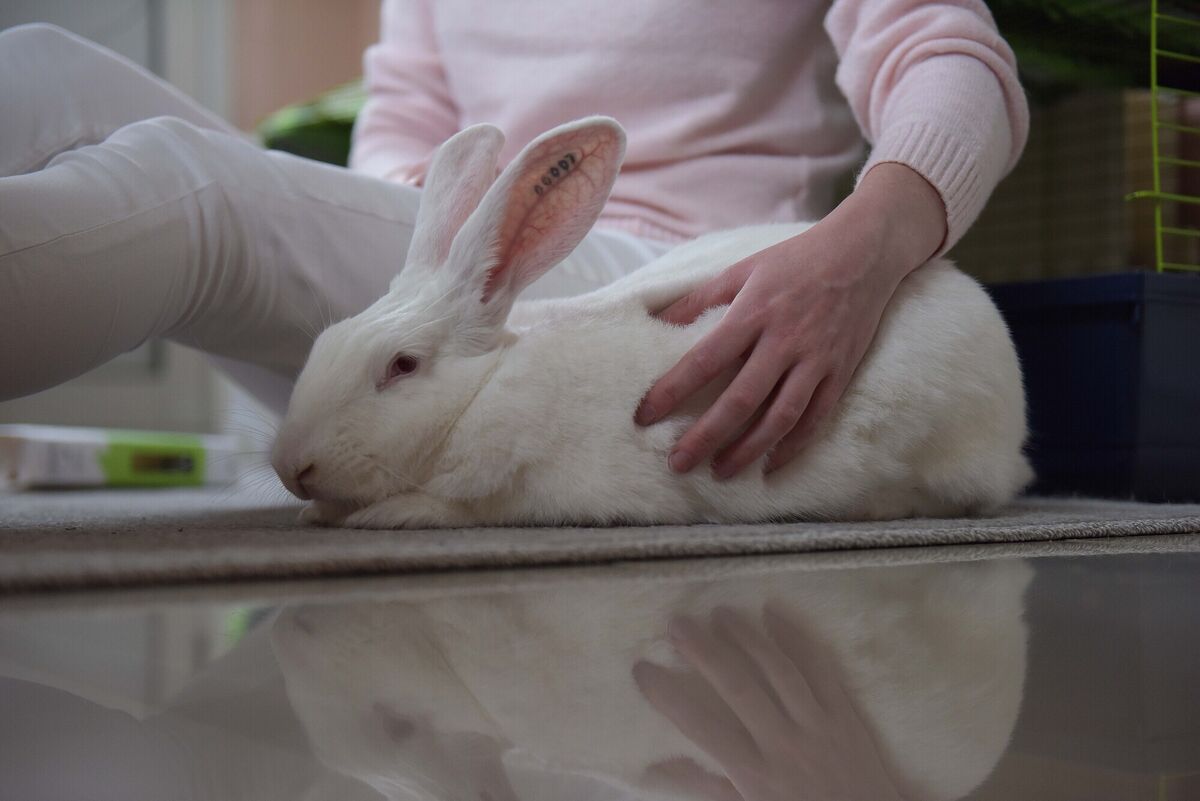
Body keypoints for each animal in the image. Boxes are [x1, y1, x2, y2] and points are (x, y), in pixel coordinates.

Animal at [270, 116, 1031, 529]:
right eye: (323, 344)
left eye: (402, 366)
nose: (290, 467)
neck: (483, 391)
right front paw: (316, 512)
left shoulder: (545, 491)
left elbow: (461, 507)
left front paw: (390, 514)